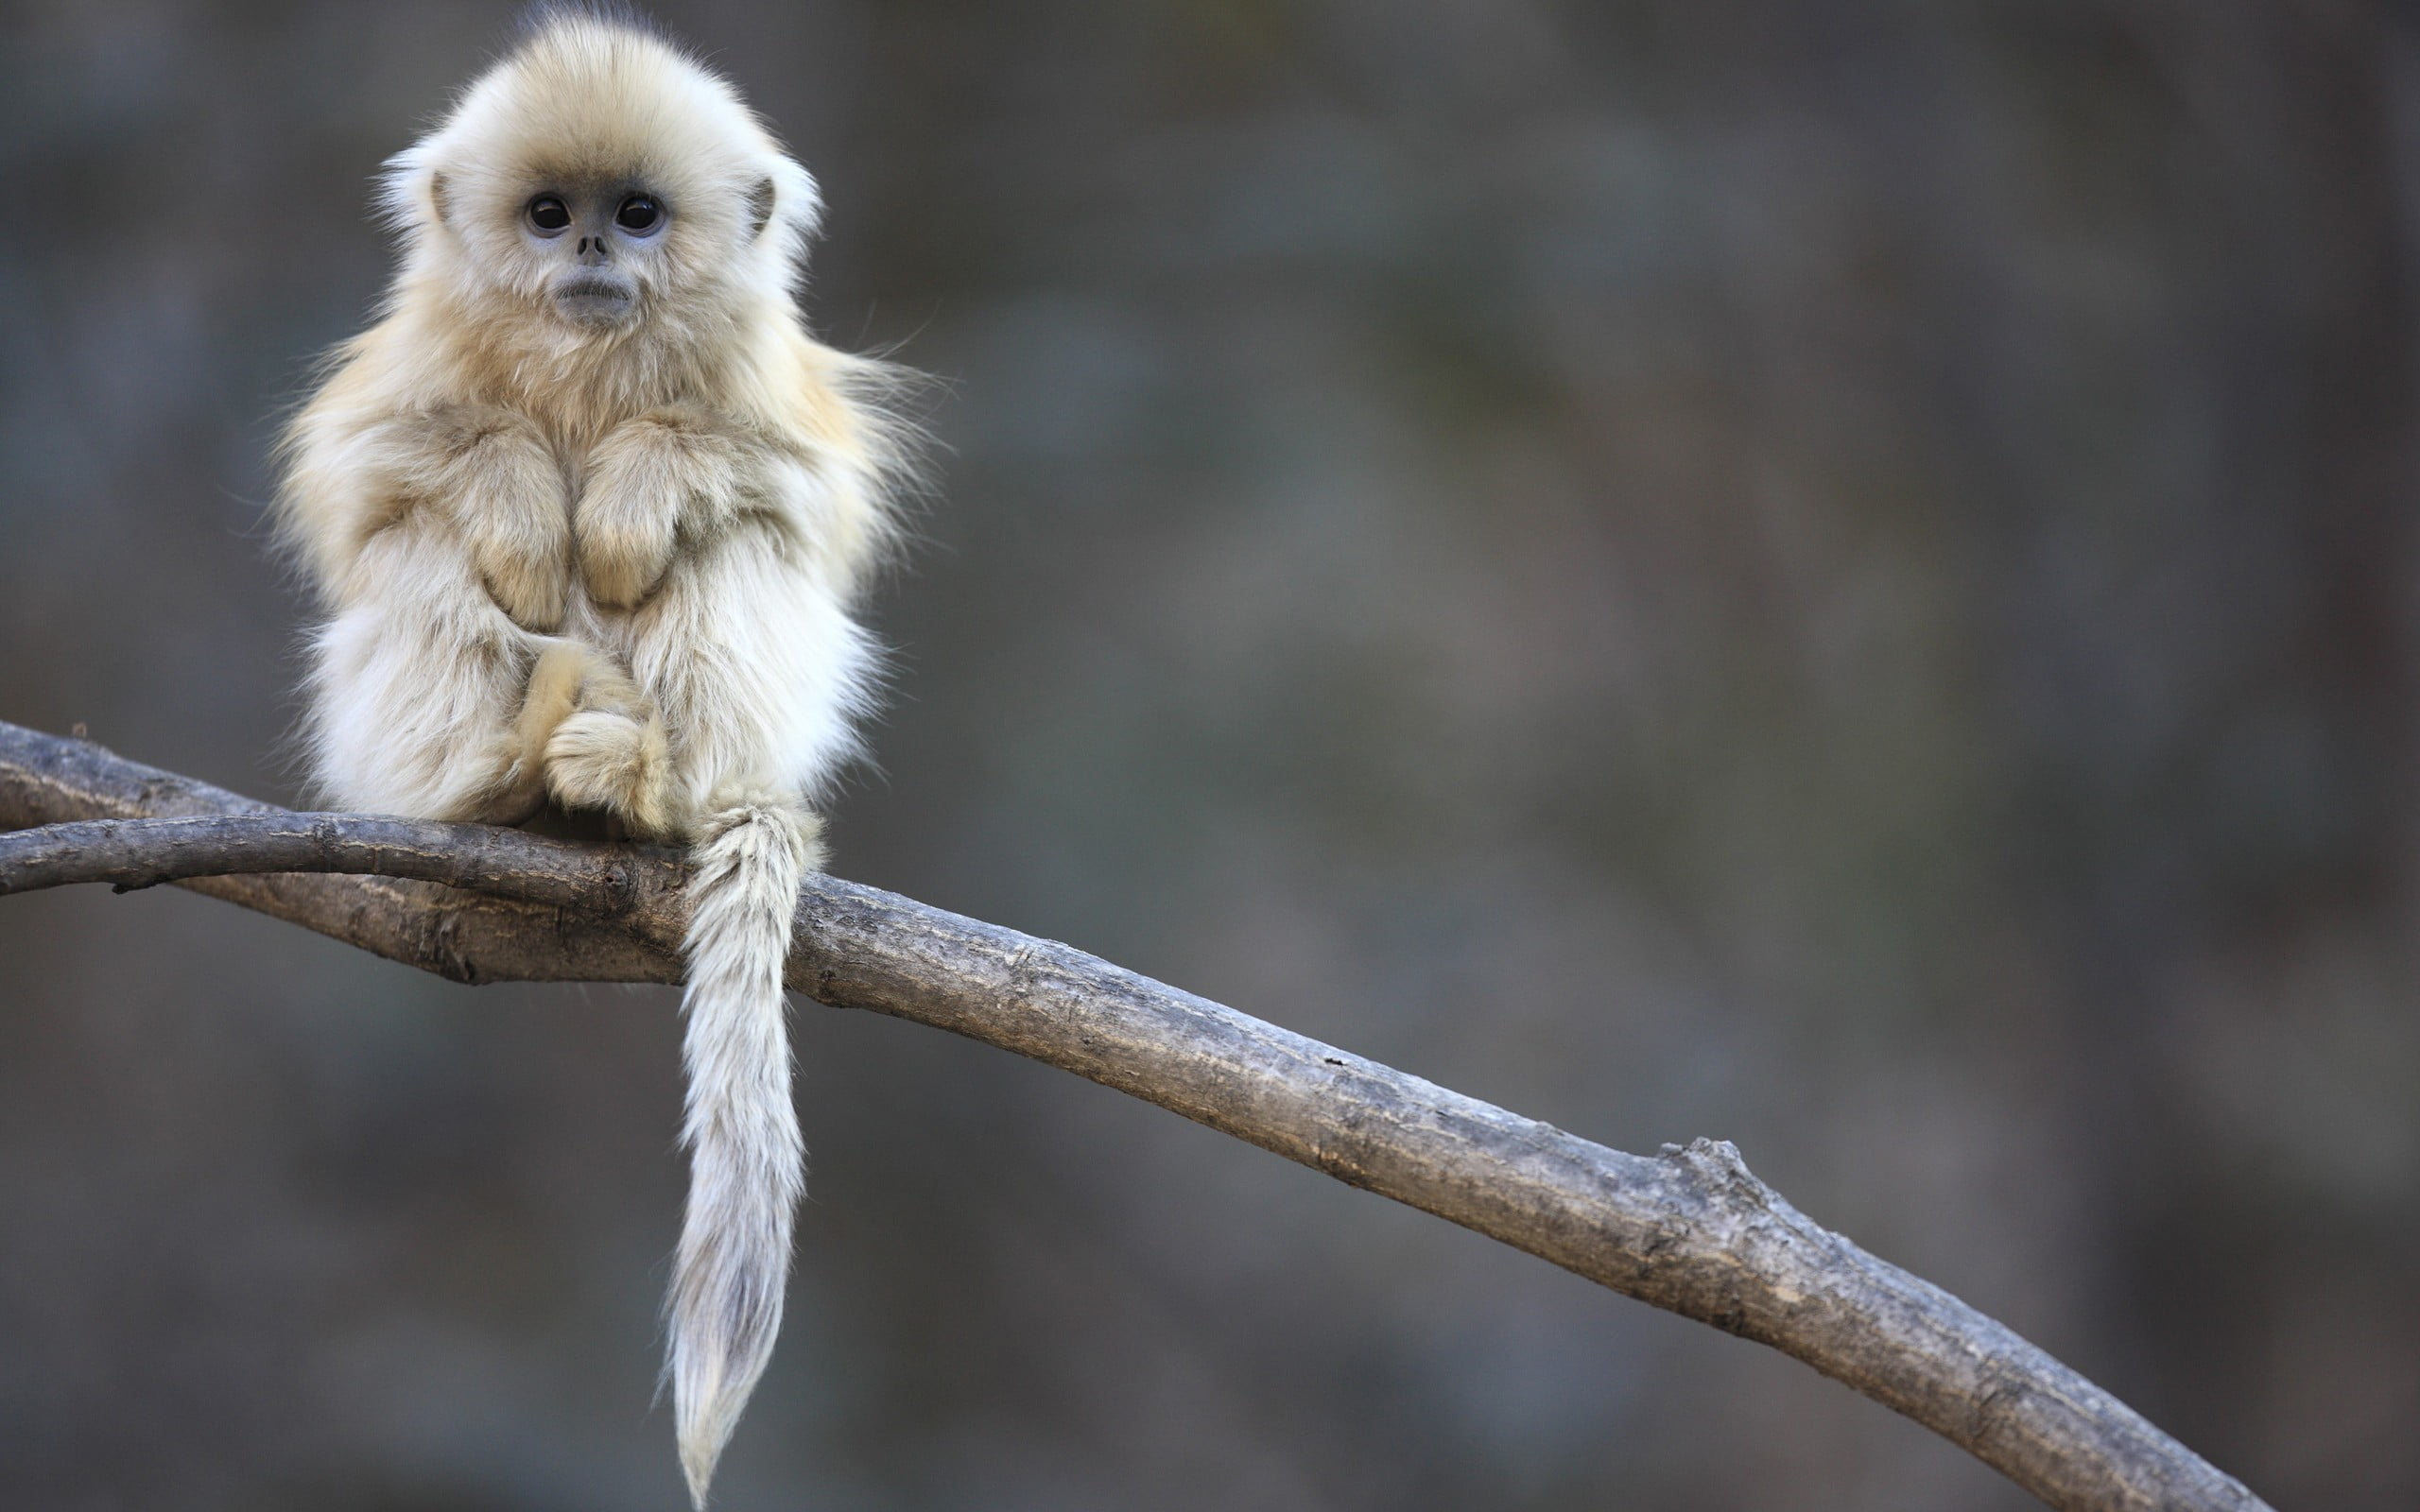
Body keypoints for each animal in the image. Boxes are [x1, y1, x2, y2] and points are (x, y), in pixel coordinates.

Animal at [273, 11, 908, 1503]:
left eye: (639, 214)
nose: (594, 259)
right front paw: (519, 502)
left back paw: (645, 786)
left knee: (741, 542)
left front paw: (626, 499)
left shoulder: (769, 392)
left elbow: (790, 489)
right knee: (417, 544)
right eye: (549, 215)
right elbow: (369, 478)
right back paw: (500, 777)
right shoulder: (404, 375)